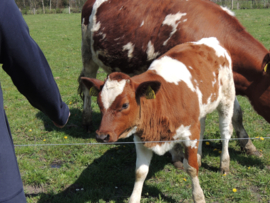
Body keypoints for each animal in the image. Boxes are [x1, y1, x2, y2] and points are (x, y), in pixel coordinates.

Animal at [81, 37, 235, 202]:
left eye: (125, 105)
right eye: (99, 103)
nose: (101, 136)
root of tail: (209, 40)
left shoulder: (190, 131)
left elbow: (191, 168)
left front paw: (199, 196)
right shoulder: (141, 139)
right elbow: (140, 172)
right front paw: (134, 198)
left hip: (227, 99)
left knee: (225, 132)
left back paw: (224, 164)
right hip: (202, 109)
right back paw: (200, 156)